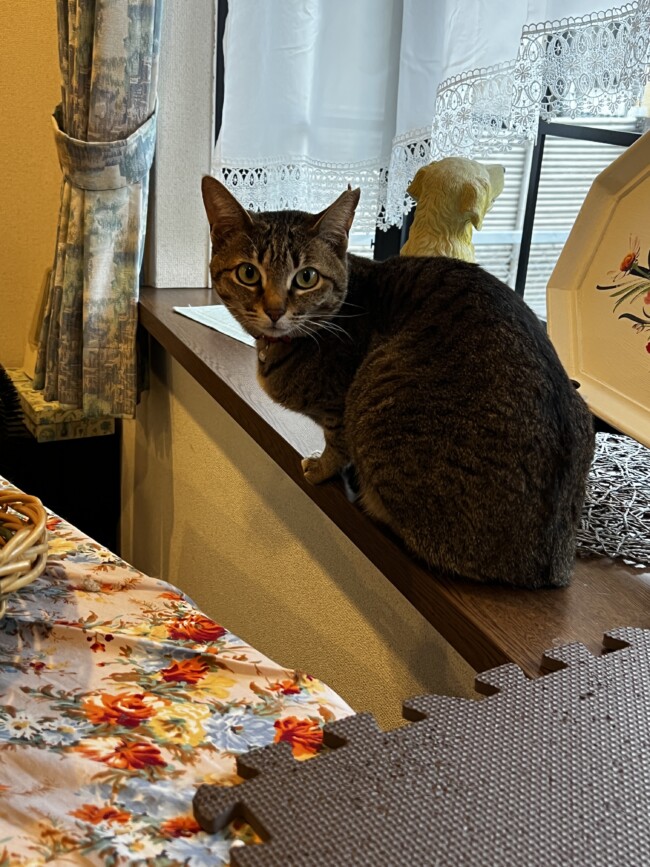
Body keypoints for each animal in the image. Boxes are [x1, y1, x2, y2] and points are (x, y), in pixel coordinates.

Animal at [201, 176, 595, 589]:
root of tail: (550, 567)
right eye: (248, 273)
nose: (275, 311)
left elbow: (337, 442)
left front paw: (320, 467)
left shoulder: (341, 406)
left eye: (306, 277)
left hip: (376, 390)